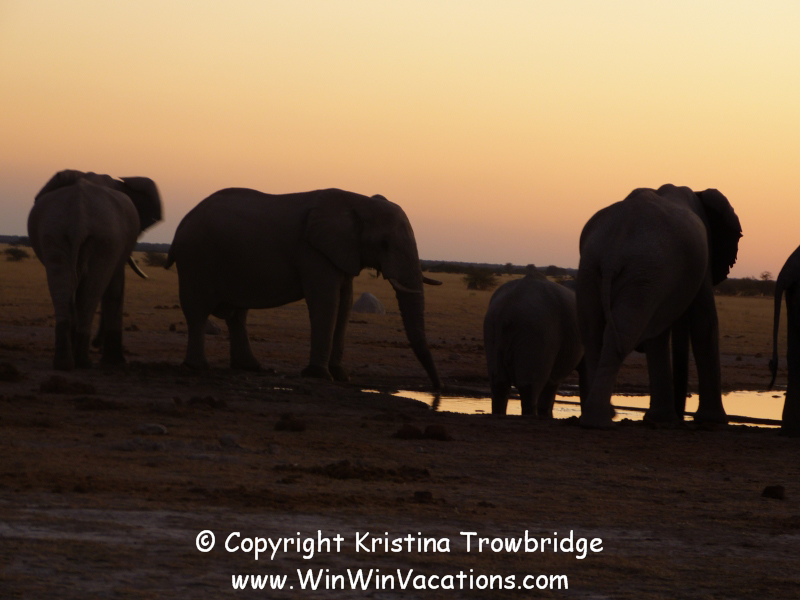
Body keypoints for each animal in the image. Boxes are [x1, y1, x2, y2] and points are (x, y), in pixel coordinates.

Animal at [27, 170, 163, 370]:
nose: (97, 343)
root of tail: (79, 216)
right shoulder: (117, 246)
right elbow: (115, 288)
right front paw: (114, 361)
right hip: (104, 239)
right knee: (91, 291)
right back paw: (83, 362)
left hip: (55, 232)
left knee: (63, 285)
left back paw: (64, 363)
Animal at [164, 187, 442, 388]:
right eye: (383, 243)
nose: (437, 389)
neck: (358, 201)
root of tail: (181, 223)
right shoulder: (313, 250)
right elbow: (326, 301)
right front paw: (319, 375)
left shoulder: (342, 252)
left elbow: (345, 303)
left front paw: (341, 376)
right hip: (196, 258)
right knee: (198, 311)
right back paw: (198, 367)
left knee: (237, 315)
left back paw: (251, 367)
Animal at [576, 184, 741, 428]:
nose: (682, 417)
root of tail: (612, 251)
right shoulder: (701, 261)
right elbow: (704, 322)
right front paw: (713, 422)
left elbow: (658, 334)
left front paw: (660, 419)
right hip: (640, 271)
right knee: (621, 334)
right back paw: (599, 421)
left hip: (596, 269)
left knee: (593, 333)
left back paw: (596, 418)